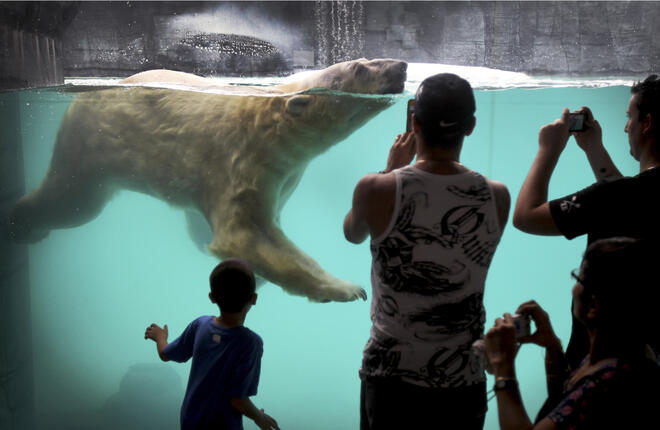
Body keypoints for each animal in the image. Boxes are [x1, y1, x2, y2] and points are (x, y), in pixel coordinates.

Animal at [9, 58, 408, 302]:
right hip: (91, 148)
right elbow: (243, 234)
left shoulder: (283, 175)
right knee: (71, 204)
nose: (401, 66)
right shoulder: (243, 162)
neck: (268, 119)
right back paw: (21, 223)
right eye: (359, 68)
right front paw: (346, 288)